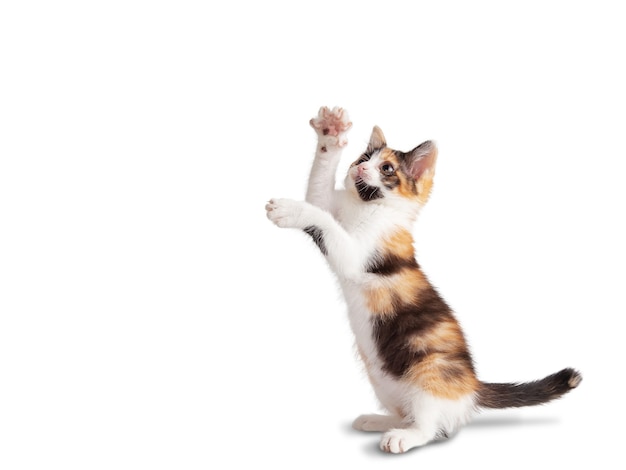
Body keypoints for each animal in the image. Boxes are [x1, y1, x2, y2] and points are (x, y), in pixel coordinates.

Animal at [264, 105, 580, 452]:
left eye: (386, 168)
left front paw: (289, 209)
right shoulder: (331, 204)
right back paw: (378, 420)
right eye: (363, 156)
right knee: (411, 415)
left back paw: (403, 438)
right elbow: (318, 192)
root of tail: (472, 387)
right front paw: (331, 133)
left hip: (429, 371)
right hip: (385, 382)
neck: (368, 208)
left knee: (432, 428)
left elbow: (323, 220)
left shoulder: (356, 254)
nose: (359, 167)